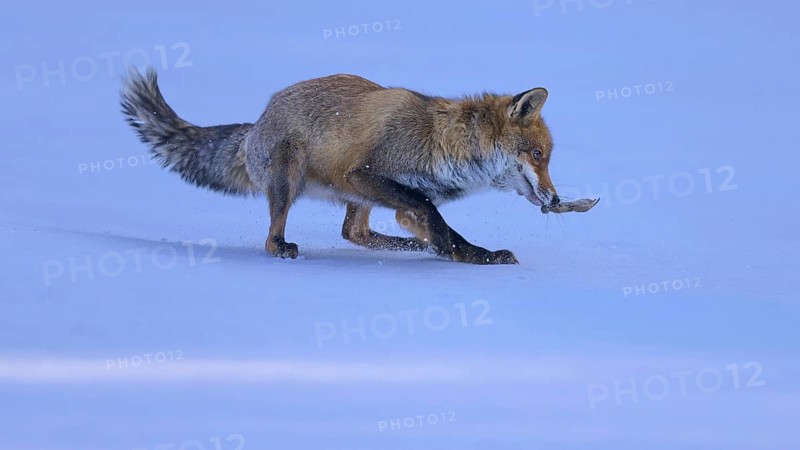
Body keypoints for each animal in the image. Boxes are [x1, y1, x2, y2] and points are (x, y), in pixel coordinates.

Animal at [121, 69, 561, 265]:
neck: (444, 142)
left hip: (354, 198)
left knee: (354, 232)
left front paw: (469, 253)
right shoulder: (363, 174)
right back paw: (282, 247)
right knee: (274, 238)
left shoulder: (406, 203)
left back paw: (406, 247)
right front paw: (458, 253)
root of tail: (256, 123)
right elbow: (435, 218)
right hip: (292, 176)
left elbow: (437, 223)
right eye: (538, 156)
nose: (556, 199)